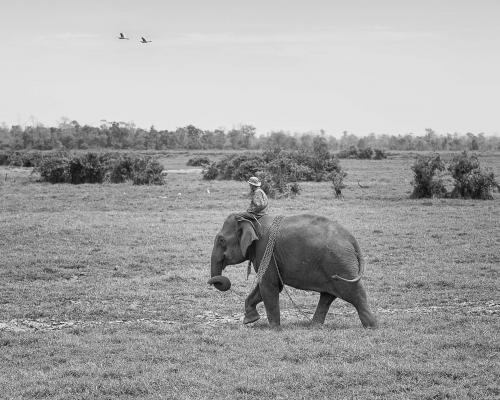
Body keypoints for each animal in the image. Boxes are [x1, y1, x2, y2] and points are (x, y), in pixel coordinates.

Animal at [209, 212, 376, 328]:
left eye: (221, 240)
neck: (253, 220)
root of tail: (351, 239)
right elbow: (268, 286)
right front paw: (250, 320)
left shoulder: (264, 250)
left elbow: (268, 285)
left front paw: (274, 328)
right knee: (328, 295)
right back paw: (314, 326)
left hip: (340, 263)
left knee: (354, 292)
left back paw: (371, 326)